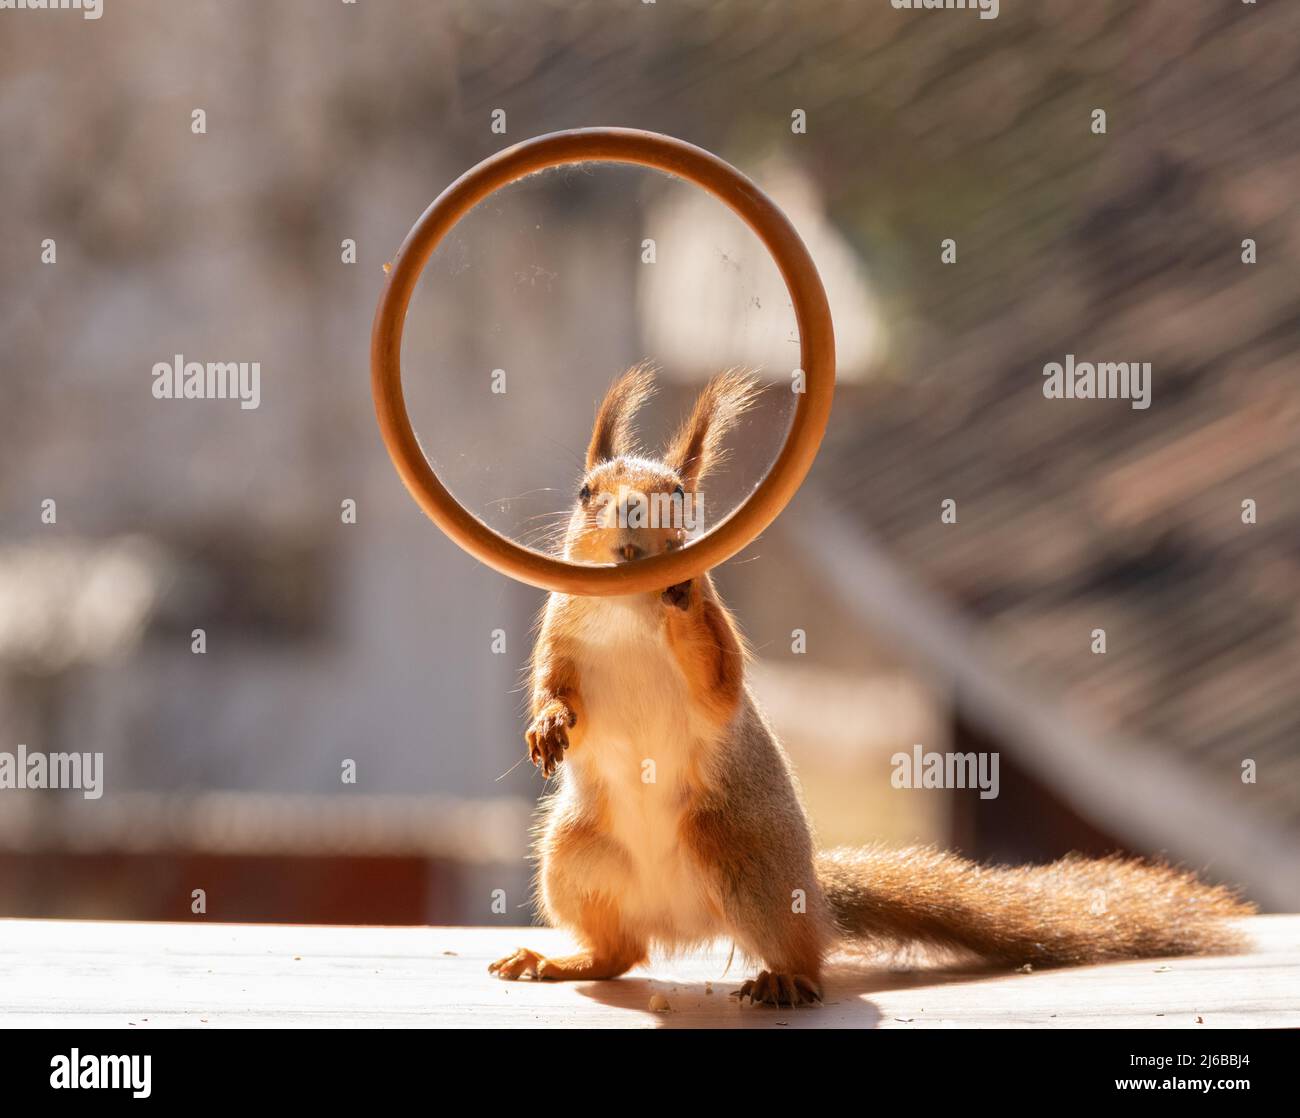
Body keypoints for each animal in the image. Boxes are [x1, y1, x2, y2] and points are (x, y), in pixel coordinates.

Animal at [489, 364, 1254, 1007]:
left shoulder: (718, 658)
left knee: (800, 952)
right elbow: (554, 687)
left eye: (678, 495)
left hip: (737, 855)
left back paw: (784, 980)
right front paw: (548, 726)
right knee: (619, 952)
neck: (628, 608)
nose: (632, 520)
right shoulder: (562, 630)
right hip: (574, 859)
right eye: (587, 494)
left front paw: (680, 594)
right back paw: (553, 960)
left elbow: (718, 682)